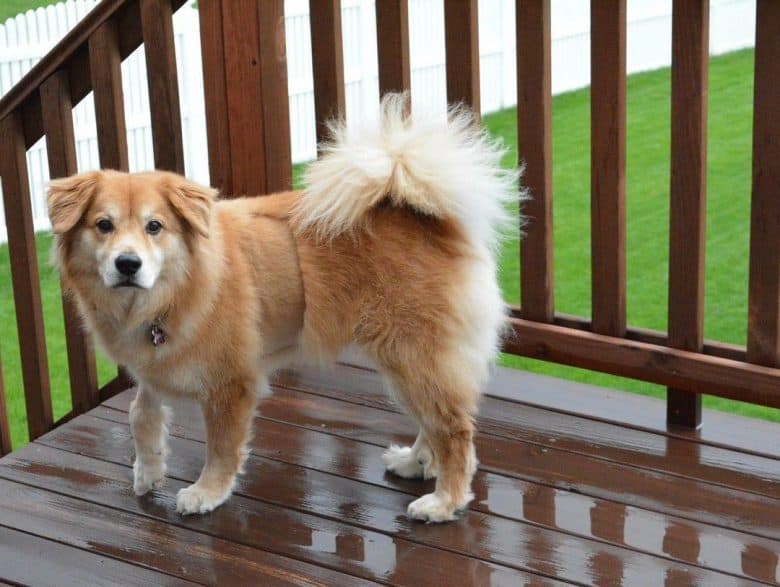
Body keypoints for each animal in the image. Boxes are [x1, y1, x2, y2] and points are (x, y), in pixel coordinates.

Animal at [47, 95, 512, 524]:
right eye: (103, 225)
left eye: (154, 227)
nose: (128, 264)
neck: (177, 289)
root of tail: (430, 219)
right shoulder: (156, 363)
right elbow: (139, 413)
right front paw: (147, 471)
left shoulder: (230, 385)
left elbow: (221, 448)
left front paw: (207, 492)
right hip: (409, 363)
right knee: (435, 423)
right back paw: (416, 463)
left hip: (412, 355)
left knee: (454, 430)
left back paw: (443, 501)